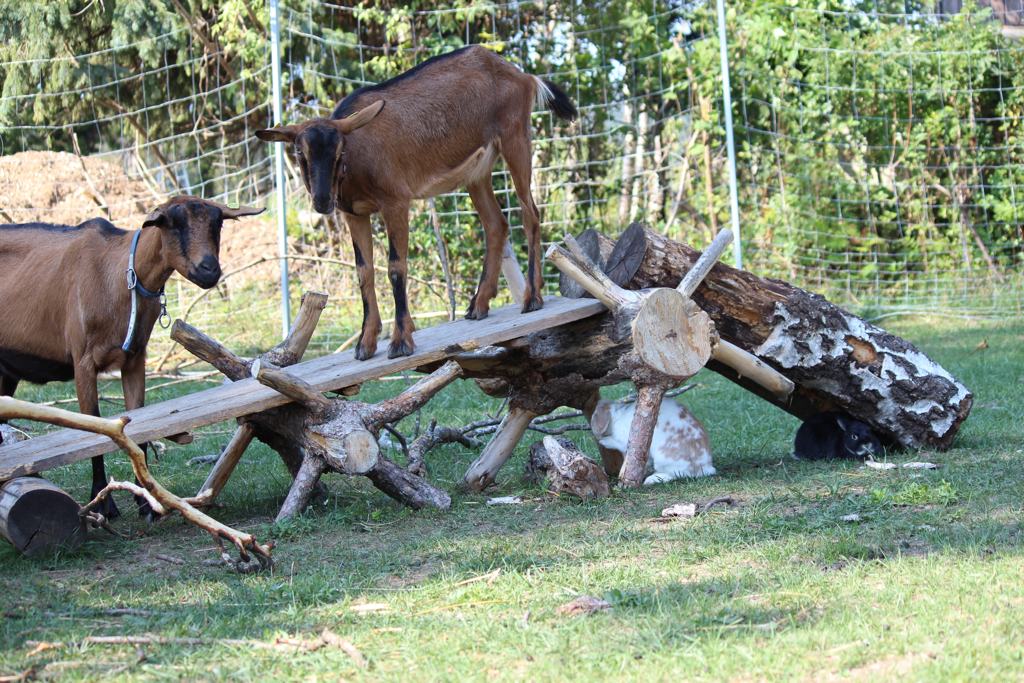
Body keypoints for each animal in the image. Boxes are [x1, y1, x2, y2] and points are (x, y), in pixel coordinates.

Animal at [0, 196, 262, 518]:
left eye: (218, 223)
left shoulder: (135, 360)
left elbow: (139, 425)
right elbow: (95, 427)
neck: (117, 275)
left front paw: (147, 501)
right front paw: (103, 502)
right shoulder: (83, 362)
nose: (209, 270)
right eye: (173, 223)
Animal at [254, 45, 577, 360]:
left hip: (515, 139)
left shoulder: (396, 202)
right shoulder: (353, 213)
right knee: (496, 224)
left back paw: (532, 298)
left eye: (339, 152)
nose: (322, 201)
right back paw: (478, 305)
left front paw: (400, 341)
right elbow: (364, 270)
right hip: (478, 171)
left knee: (530, 213)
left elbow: (396, 266)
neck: (358, 158)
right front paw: (365, 343)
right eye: (300, 153)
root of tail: (523, 76)